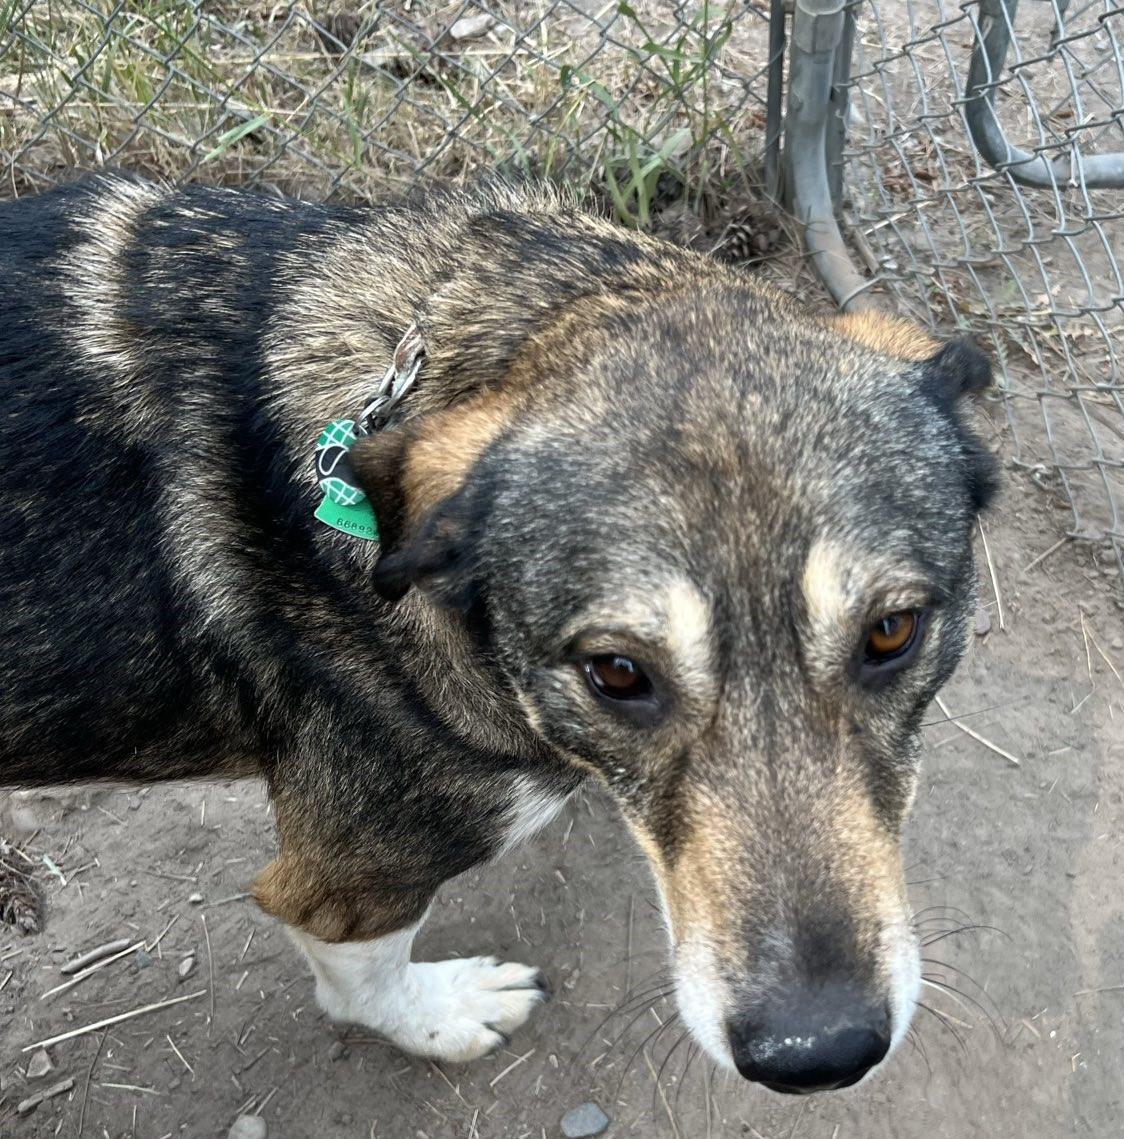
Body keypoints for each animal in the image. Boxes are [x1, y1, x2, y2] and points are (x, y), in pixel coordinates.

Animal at [0, 177, 997, 1093]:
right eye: (617, 672)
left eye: (892, 631)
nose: (818, 1053)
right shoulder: (348, 875)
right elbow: (363, 974)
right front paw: (439, 1016)